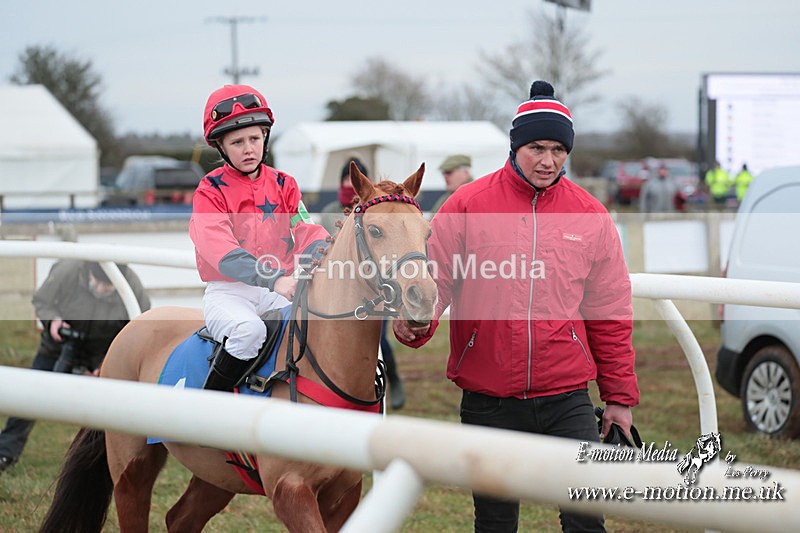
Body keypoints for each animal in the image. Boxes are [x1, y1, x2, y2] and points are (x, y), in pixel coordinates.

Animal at [40, 162, 438, 533]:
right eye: (375, 230)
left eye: (427, 231)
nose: (423, 298)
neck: (321, 366)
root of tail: (131, 329)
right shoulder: (290, 491)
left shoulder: (345, 496)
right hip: (131, 466)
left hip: (217, 474)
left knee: (180, 518)